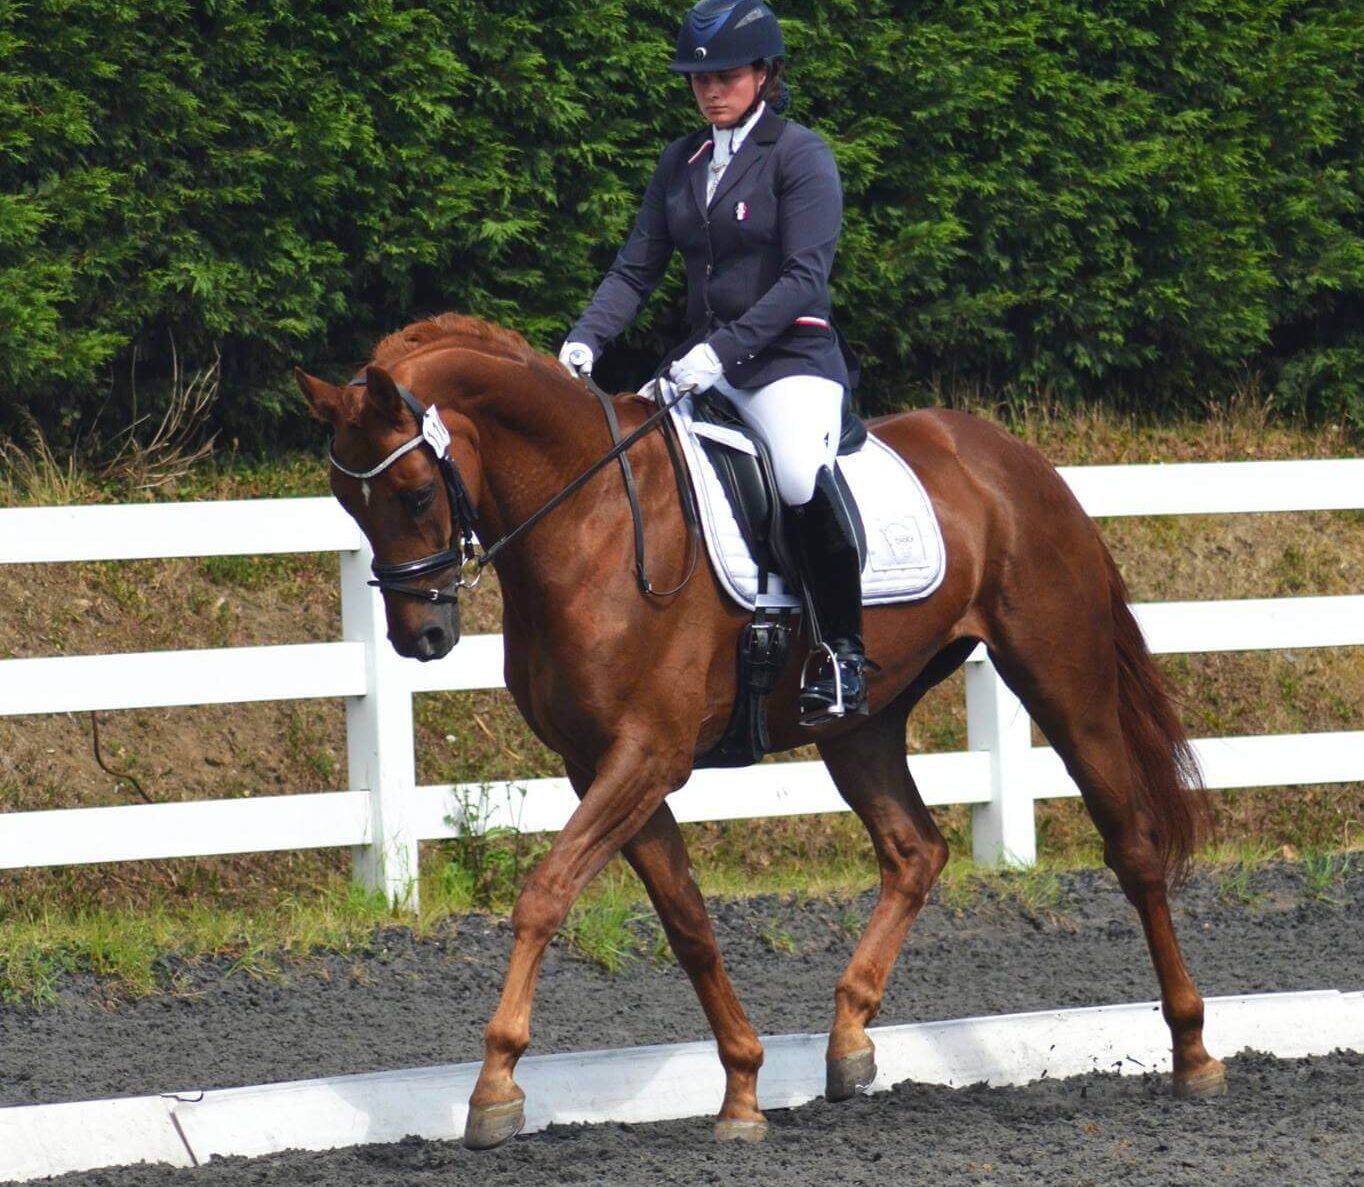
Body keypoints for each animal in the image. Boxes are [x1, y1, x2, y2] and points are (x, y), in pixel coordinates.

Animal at [296, 312, 1225, 1150]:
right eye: (347, 502)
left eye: (417, 493)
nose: (421, 635)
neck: (589, 519)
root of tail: (1012, 456)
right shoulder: (600, 763)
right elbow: (687, 919)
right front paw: (742, 1087)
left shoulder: (647, 756)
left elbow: (546, 894)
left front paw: (494, 1086)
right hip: (861, 724)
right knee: (915, 850)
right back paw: (848, 1039)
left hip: (1061, 679)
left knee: (1133, 845)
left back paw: (1193, 1050)